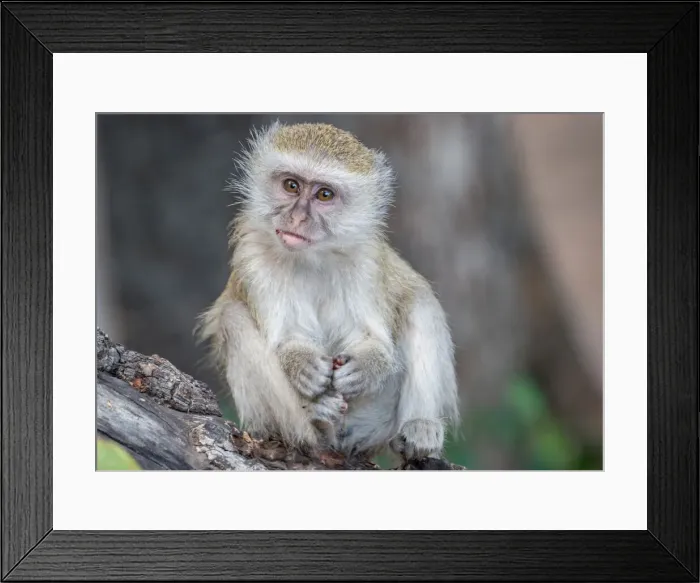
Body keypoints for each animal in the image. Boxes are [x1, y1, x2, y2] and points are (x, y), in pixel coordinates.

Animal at [196, 121, 460, 463]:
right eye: (291, 186)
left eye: (324, 194)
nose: (297, 218)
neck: (313, 258)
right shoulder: (253, 258)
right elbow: (286, 337)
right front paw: (302, 364)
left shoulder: (366, 261)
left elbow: (373, 337)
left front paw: (367, 366)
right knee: (232, 318)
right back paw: (315, 419)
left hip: (375, 420)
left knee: (420, 301)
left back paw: (420, 426)